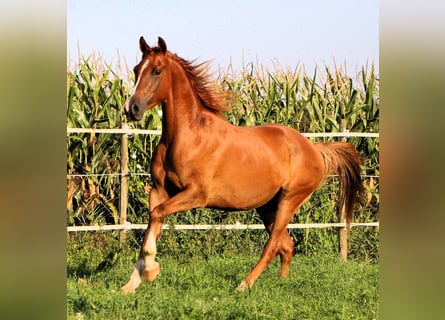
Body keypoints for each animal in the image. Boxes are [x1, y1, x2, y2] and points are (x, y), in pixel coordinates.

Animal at [120, 36, 360, 294]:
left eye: (157, 71)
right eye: (136, 69)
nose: (131, 108)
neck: (186, 137)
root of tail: (313, 148)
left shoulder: (196, 195)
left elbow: (156, 215)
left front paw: (150, 271)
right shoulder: (159, 190)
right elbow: (152, 221)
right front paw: (131, 284)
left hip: (289, 200)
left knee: (273, 245)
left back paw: (244, 285)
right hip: (268, 206)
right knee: (286, 244)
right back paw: (281, 283)